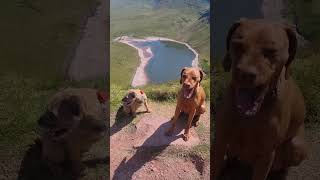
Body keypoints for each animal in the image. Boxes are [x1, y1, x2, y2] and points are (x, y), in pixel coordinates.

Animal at [214, 19, 308, 179]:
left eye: (271, 51)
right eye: (237, 45)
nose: (245, 74)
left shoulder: (266, 154)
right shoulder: (220, 141)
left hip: (296, 146)